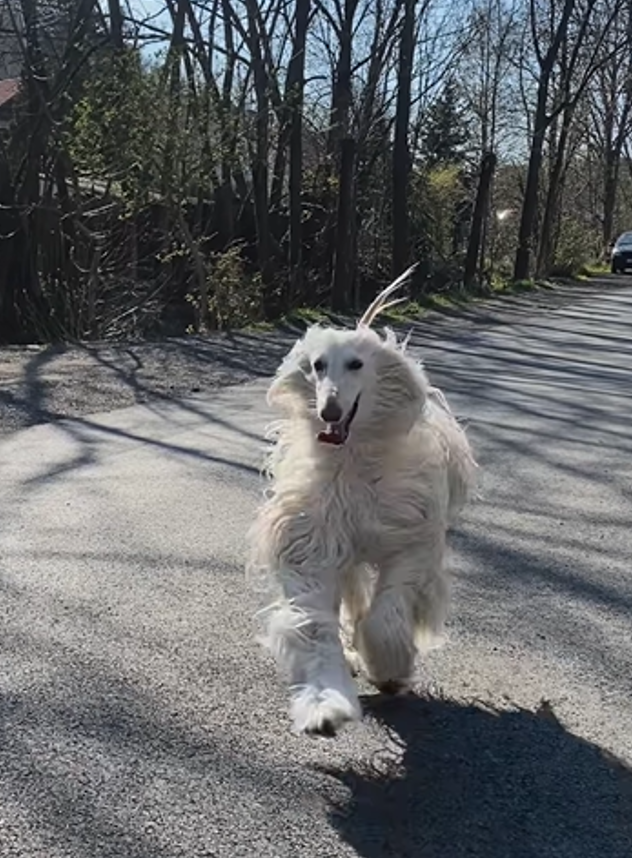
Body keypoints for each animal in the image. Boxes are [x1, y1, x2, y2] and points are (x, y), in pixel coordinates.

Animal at [247, 267, 476, 735]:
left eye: (356, 363)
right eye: (318, 365)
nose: (330, 412)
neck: (351, 462)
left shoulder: (410, 539)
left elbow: (387, 615)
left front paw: (389, 670)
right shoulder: (313, 539)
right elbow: (312, 624)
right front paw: (324, 705)